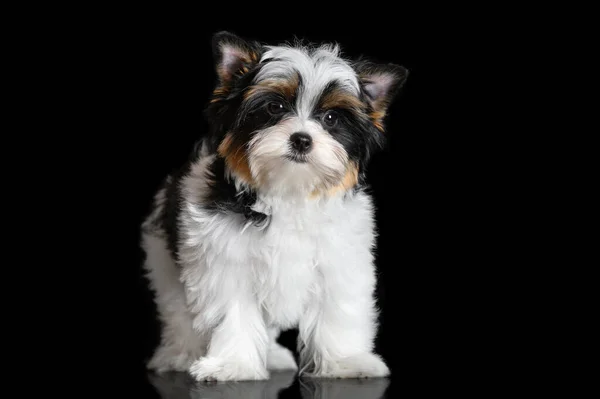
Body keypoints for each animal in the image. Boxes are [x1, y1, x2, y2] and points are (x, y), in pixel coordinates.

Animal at [141, 30, 408, 382]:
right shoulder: (226, 263)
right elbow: (235, 311)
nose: (301, 139)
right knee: (177, 312)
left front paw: (346, 361)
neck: (289, 190)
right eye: (274, 107)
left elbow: (338, 309)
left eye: (331, 118)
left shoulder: (339, 261)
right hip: (164, 262)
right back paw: (179, 354)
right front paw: (234, 364)